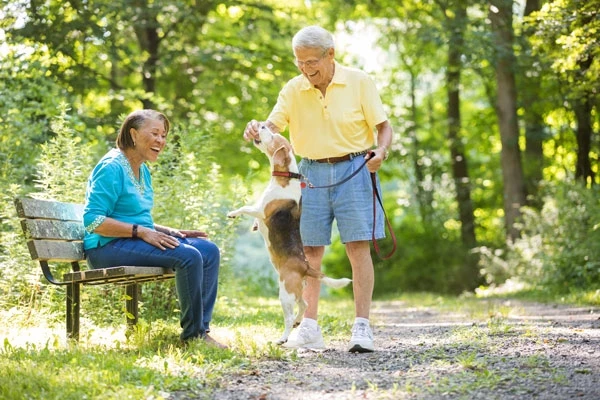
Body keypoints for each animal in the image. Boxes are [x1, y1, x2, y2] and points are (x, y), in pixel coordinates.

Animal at [229, 125, 352, 344]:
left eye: (271, 134)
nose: (261, 125)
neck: (286, 177)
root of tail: (305, 266)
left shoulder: (260, 210)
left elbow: (245, 208)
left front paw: (233, 214)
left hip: (285, 293)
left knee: (289, 316)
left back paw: (283, 338)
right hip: (296, 290)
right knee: (304, 305)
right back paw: (297, 322)